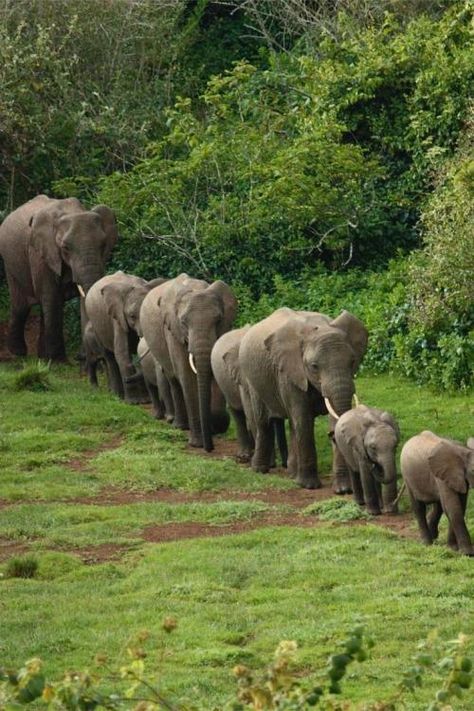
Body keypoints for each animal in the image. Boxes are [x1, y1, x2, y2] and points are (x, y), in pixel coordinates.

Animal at [0, 195, 118, 362]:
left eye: (103, 245)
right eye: (65, 248)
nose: (79, 357)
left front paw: (83, 358)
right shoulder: (42, 254)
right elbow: (52, 297)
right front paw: (58, 361)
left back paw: (42, 356)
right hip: (10, 263)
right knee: (21, 305)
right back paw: (18, 354)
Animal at [84, 272, 166, 404]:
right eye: (132, 316)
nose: (127, 379)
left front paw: (145, 401)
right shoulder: (118, 317)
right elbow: (122, 353)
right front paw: (135, 402)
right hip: (96, 325)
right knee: (109, 358)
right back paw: (116, 395)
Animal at [140, 272, 237, 450]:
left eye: (218, 320)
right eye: (184, 322)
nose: (210, 448)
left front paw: (217, 426)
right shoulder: (173, 330)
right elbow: (187, 377)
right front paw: (198, 444)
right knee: (173, 379)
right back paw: (180, 426)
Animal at [213, 328, 286, 468]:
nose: (285, 465)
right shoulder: (244, 378)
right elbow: (252, 415)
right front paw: (269, 463)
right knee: (238, 413)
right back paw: (245, 455)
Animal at [239, 306, 368, 490]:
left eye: (352, 362)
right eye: (314, 366)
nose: (331, 435)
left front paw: (343, 490)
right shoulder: (290, 372)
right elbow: (304, 421)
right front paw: (309, 486)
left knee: (293, 425)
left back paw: (293, 474)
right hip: (252, 378)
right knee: (263, 422)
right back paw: (260, 470)